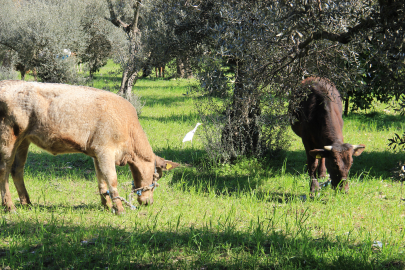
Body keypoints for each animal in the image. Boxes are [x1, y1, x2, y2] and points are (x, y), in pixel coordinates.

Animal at [0, 79, 180, 214]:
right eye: (156, 177)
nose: (149, 202)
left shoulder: (96, 154)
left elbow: (101, 180)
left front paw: (107, 205)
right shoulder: (105, 150)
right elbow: (112, 179)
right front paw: (119, 208)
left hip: (24, 140)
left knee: (17, 169)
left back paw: (27, 203)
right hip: (8, 137)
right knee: (4, 169)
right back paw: (10, 206)